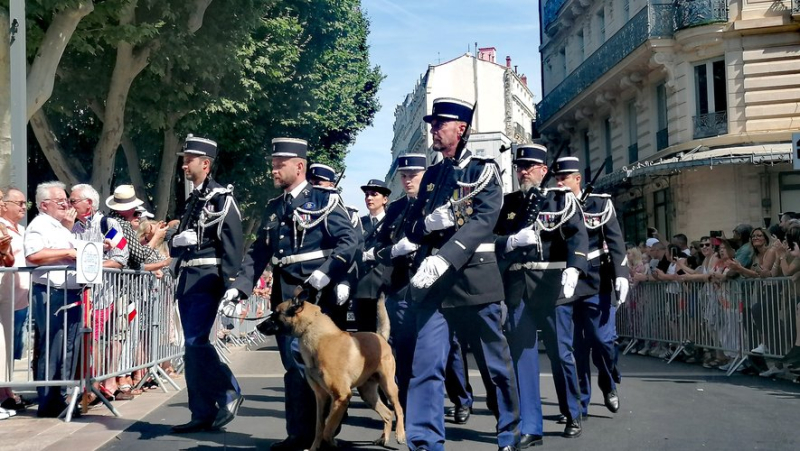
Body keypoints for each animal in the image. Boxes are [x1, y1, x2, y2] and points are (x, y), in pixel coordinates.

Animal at [258, 288, 406, 450]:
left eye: (275, 314)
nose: (257, 327)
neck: (312, 328)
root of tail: (380, 337)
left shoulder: (341, 396)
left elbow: (328, 429)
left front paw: (331, 443)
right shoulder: (321, 397)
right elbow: (319, 427)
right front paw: (314, 448)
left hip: (388, 387)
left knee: (398, 409)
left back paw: (400, 435)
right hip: (368, 394)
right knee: (388, 413)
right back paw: (384, 438)